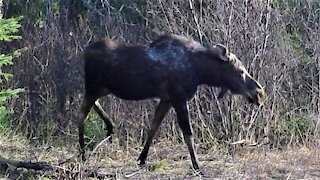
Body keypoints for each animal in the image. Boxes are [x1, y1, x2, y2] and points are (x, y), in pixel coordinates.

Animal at [77, 34, 264, 173]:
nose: (259, 93)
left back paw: (109, 127)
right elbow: (188, 133)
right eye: (240, 72)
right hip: (93, 86)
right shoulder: (178, 98)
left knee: (93, 106)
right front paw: (197, 165)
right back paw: (83, 153)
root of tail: (85, 51)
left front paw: (142, 159)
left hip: (102, 88)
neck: (201, 72)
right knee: (81, 115)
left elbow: (153, 127)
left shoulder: (166, 99)